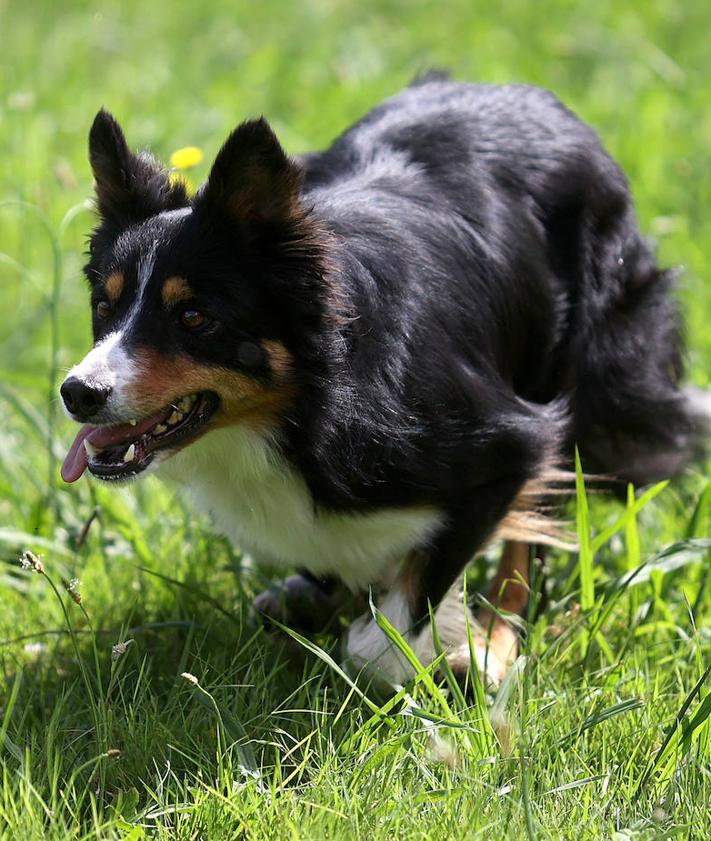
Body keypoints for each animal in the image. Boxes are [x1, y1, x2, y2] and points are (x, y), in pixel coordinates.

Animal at [59, 75, 708, 684]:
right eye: (104, 306)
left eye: (195, 317)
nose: (76, 394)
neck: (308, 406)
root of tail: (528, 93)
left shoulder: (509, 440)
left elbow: (402, 613)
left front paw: (425, 648)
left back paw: (494, 647)